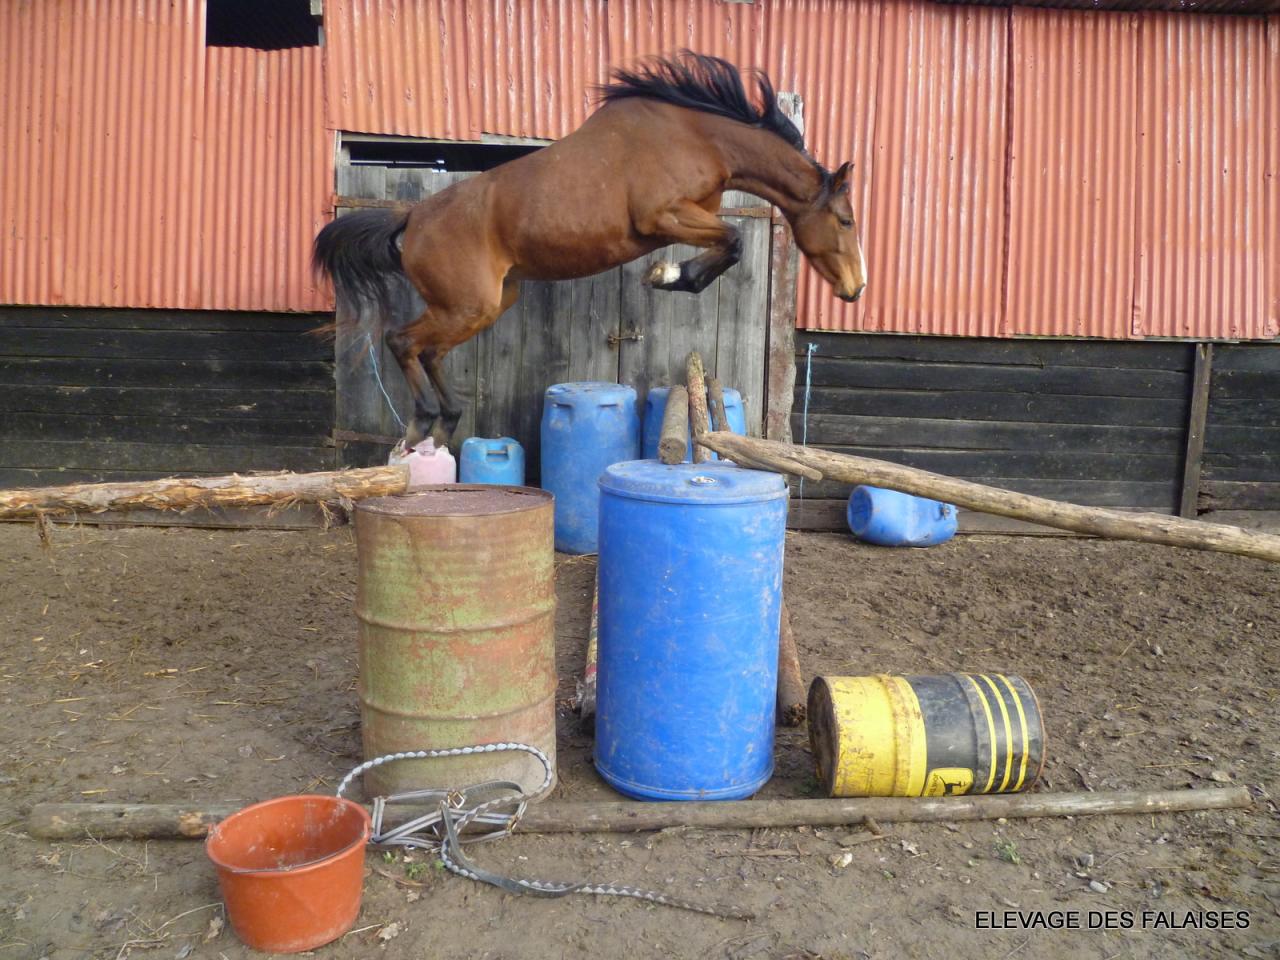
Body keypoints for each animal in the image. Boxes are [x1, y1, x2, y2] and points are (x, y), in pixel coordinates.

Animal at [313, 48, 865, 448]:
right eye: (845, 220)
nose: (856, 289)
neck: (698, 137)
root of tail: (414, 216)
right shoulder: (663, 216)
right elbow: (734, 240)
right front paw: (670, 276)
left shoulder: (681, 220)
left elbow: (730, 244)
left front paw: (668, 275)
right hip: (467, 306)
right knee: (403, 342)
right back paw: (423, 422)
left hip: (487, 303)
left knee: (427, 351)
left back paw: (446, 420)